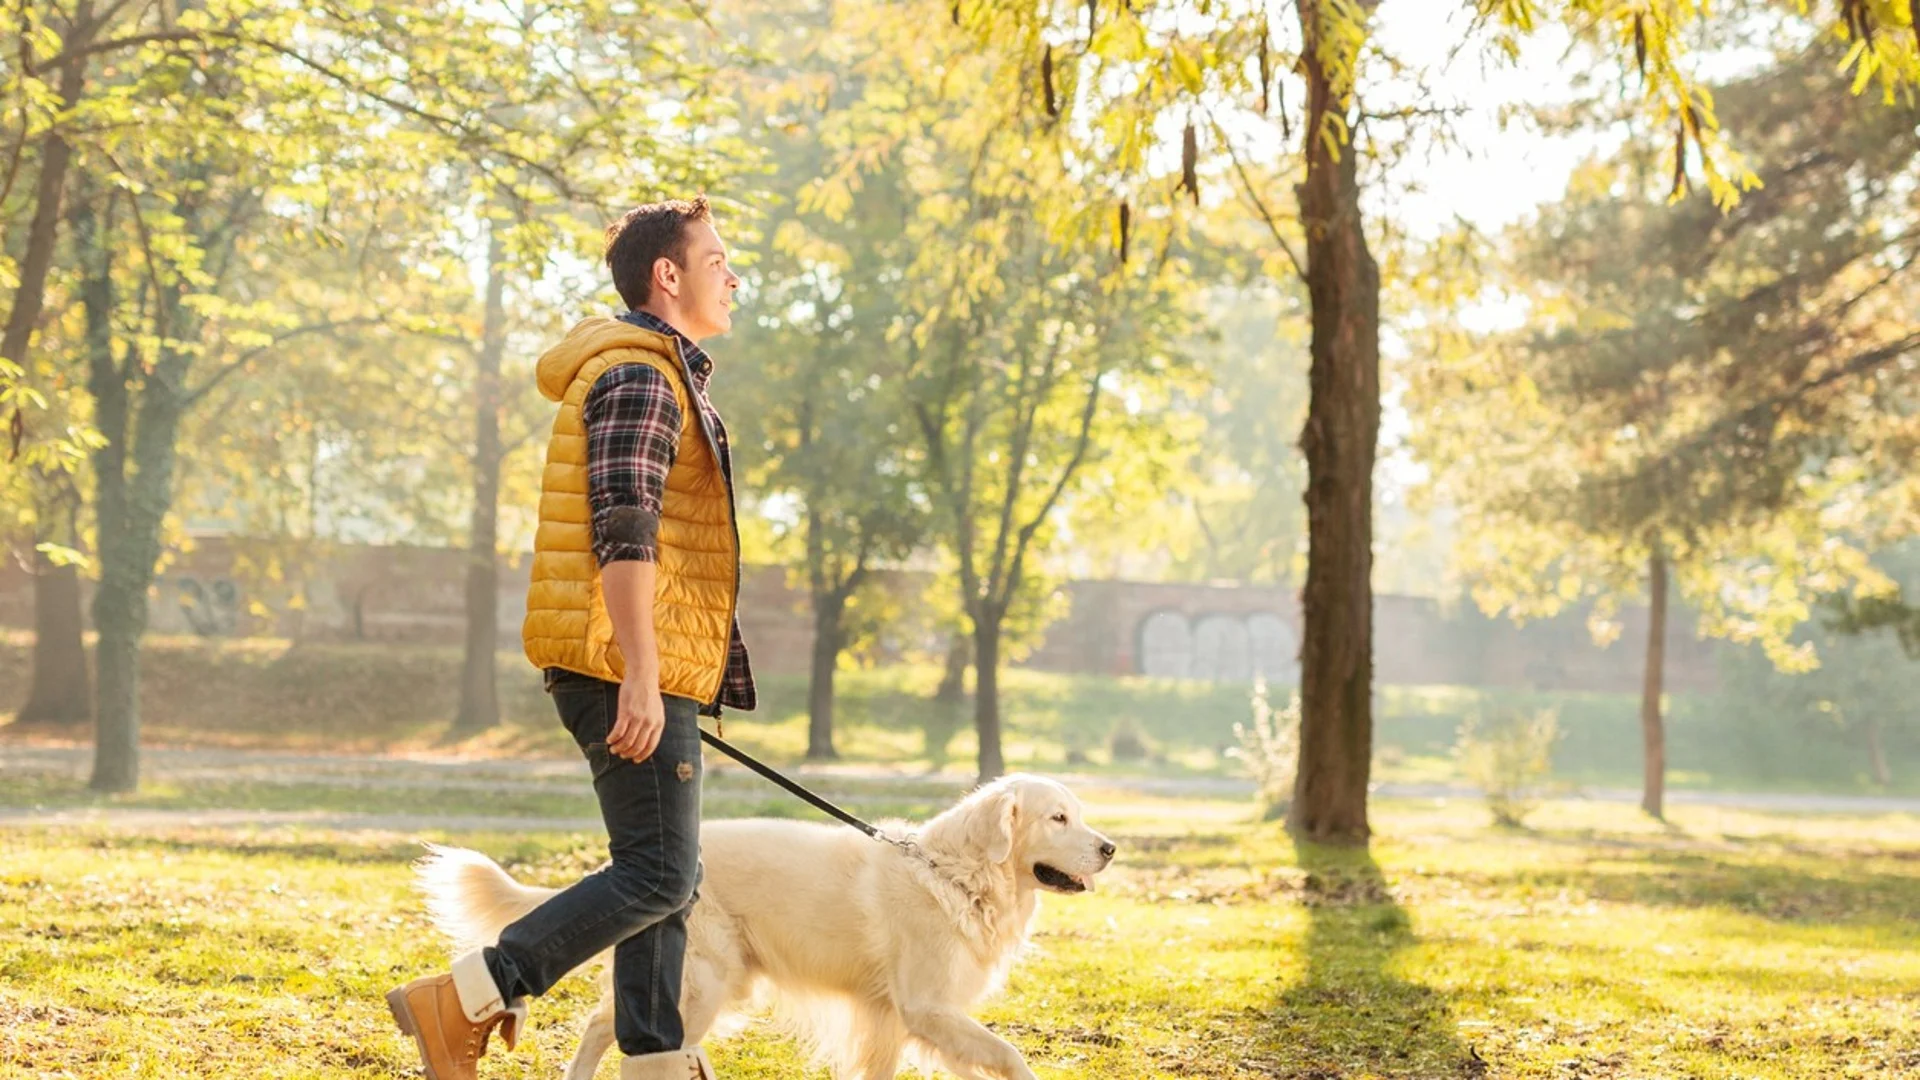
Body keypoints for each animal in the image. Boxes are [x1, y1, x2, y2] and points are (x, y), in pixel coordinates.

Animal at [412, 768, 1121, 1068]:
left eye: (1079, 814)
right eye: (1058, 817)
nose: (1111, 848)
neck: (955, 874)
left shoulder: (895, 1021)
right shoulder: (927, 1008)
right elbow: (1009, 1054)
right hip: (705, 983)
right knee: (604, 1029)